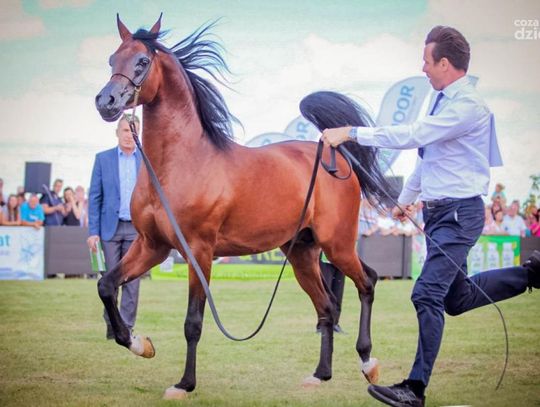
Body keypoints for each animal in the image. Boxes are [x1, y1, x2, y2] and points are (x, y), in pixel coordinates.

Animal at [95, 15, 390, 400]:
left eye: (142, 61)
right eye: (111, 59)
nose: (106, 101)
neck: (180, 164)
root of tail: (334, 154)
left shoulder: (199, 252)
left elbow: (193, 322)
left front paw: (184, 384)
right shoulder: (152, 246)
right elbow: (106, 285)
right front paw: (139, 343)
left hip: (337, 244)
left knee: (367, 282)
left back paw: (368, 363)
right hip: (302, 253)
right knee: (326, 306)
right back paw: (320, 375)